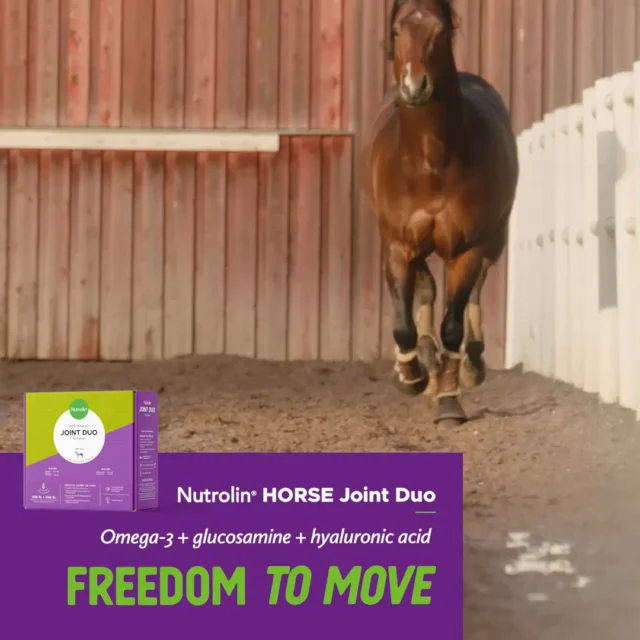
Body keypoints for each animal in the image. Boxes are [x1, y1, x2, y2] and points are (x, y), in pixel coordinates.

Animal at [359, 0, 519, 427]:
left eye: (441, 31)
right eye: (398, 30)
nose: (415, 86)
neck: (430, 164)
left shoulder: (467, 248)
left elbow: (452, 325)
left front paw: (449, 401)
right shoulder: (398, 245)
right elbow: (402, 324)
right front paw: (410, 375)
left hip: (494, 239)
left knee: (475, 290)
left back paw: (469, 366)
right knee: (427, 288)